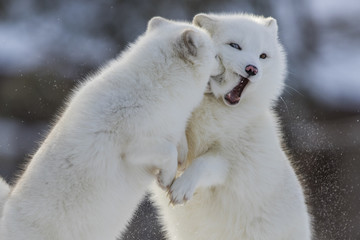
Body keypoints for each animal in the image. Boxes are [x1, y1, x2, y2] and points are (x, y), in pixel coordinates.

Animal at [0, 17, 219, 240]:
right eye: (215, 54)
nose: (225, 66)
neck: (157, 87)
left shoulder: (172, 127)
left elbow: (178, 143)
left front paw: (181, 158)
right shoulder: (135, 147)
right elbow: (168, 151)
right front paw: (166, 177)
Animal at [152, 13, 312, 240]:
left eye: (263, 56)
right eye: (235, 46)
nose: (252, 69)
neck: (215, 108)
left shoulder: (230, 163)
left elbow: (203, 163)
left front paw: (181, 187)